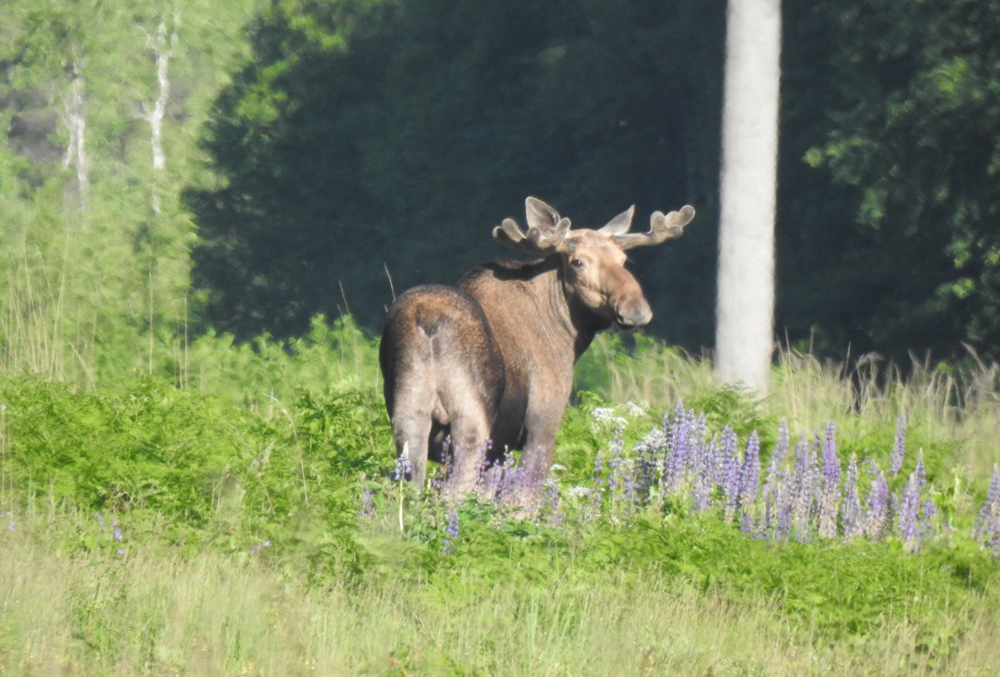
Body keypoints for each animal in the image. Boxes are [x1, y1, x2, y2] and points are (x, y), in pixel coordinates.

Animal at [376, 195, 696, 502]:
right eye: (577, 262)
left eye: (623, 258)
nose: (635, 309)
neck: (567, 332)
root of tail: (428, 324)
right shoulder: (542, 425)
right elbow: (522, 502)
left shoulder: (500, 448)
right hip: (470, 419)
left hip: (408, 416)